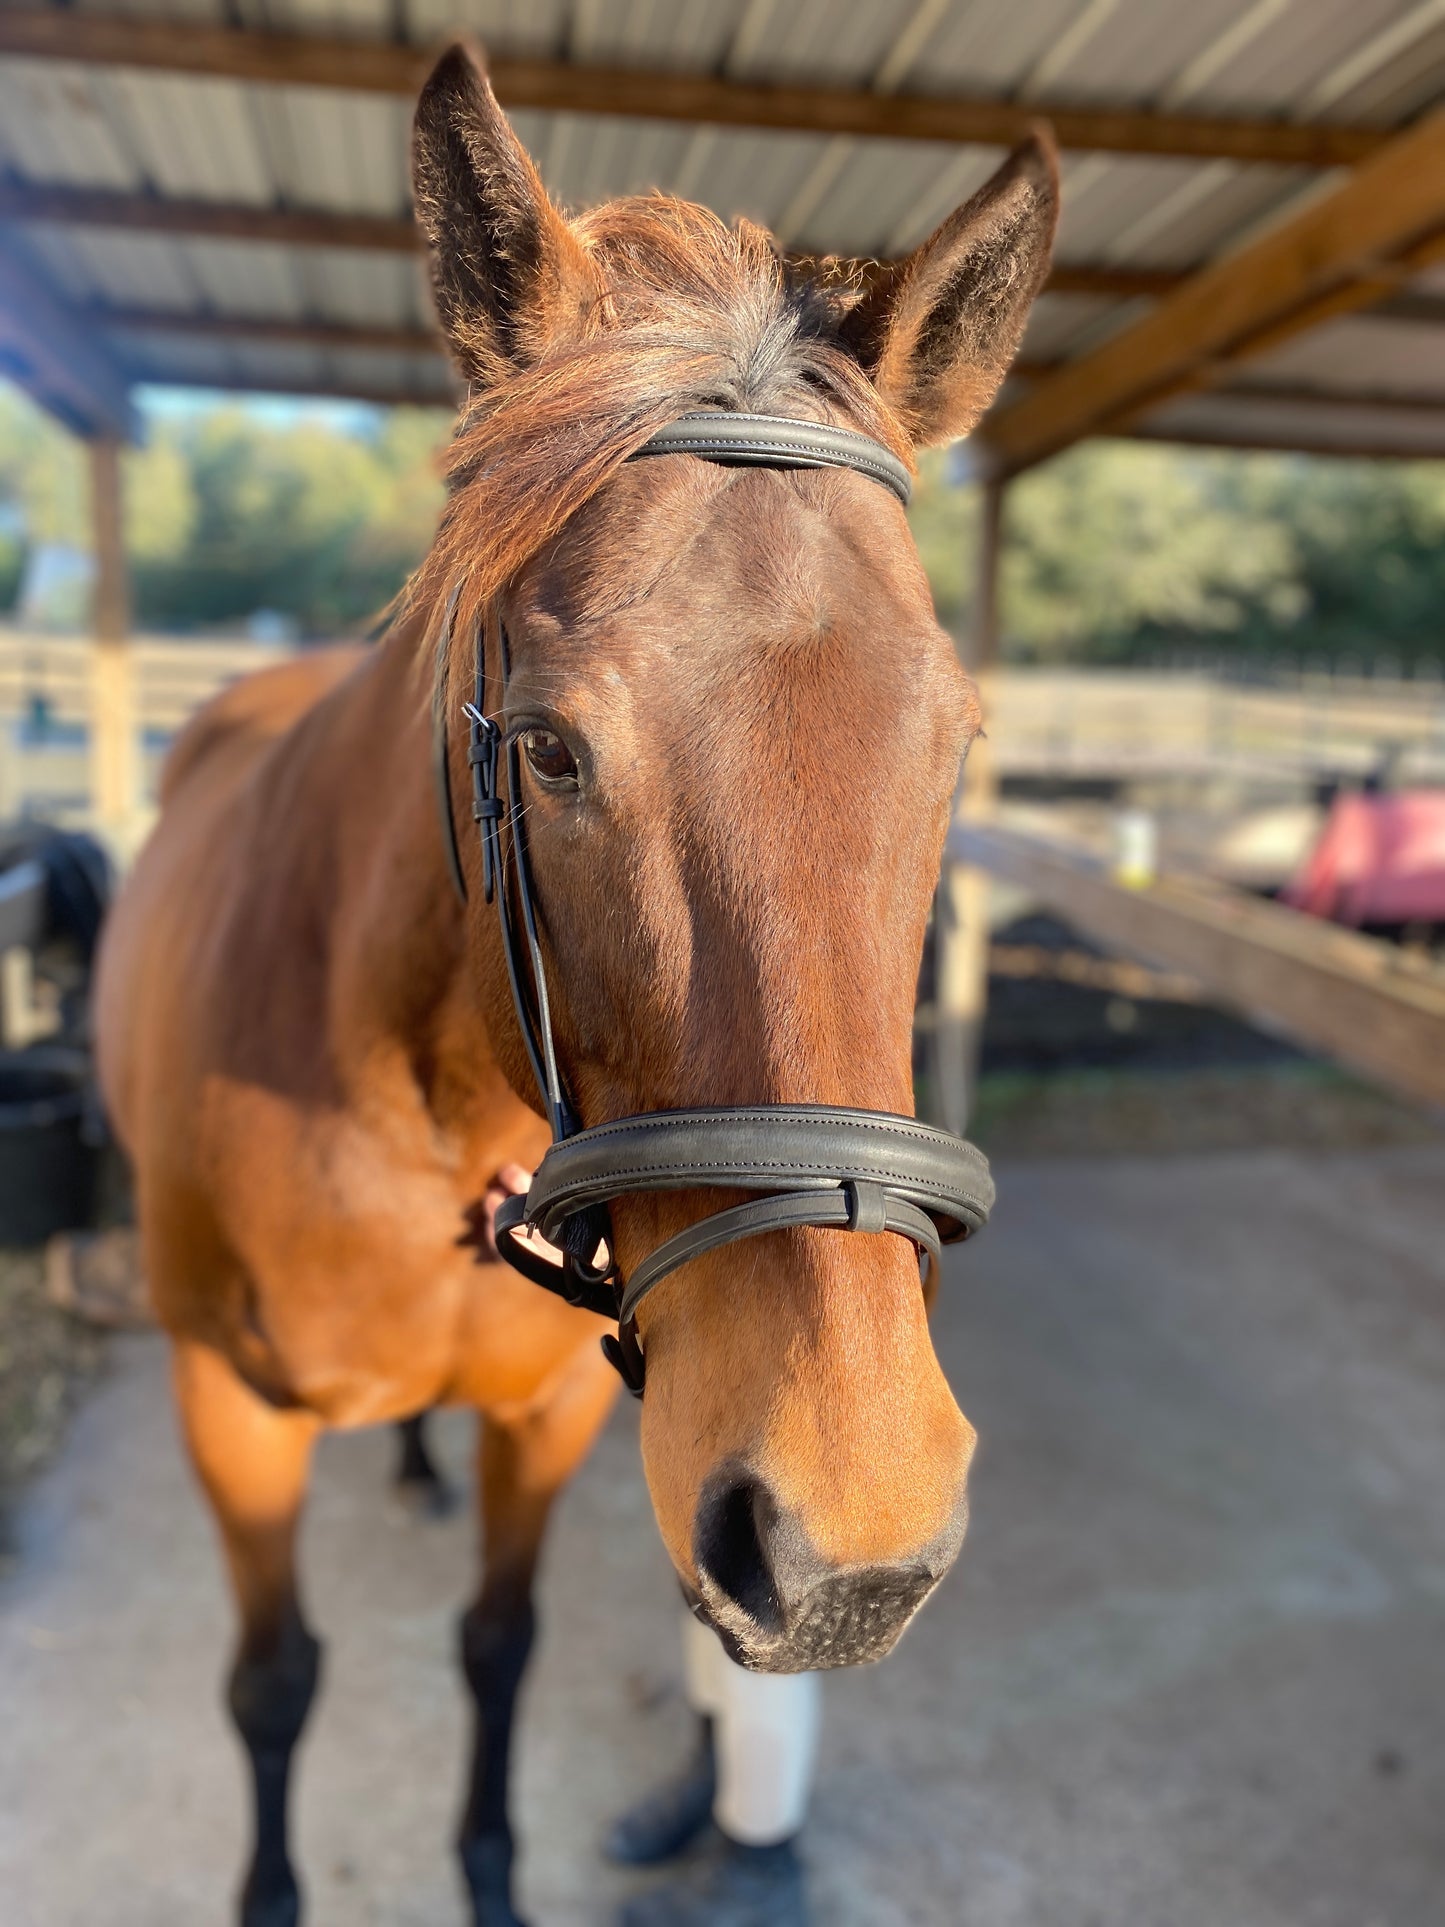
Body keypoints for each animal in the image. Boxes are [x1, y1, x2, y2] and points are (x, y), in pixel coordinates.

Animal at [96, 45, 1055, 1927]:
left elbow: (500, 1643)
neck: (410, 1081)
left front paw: (486, 1865)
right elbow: (274, 1681)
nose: (852, 1538)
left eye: (955, 745)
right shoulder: (224, 1410)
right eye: (547, 747)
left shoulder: (543, 1422)